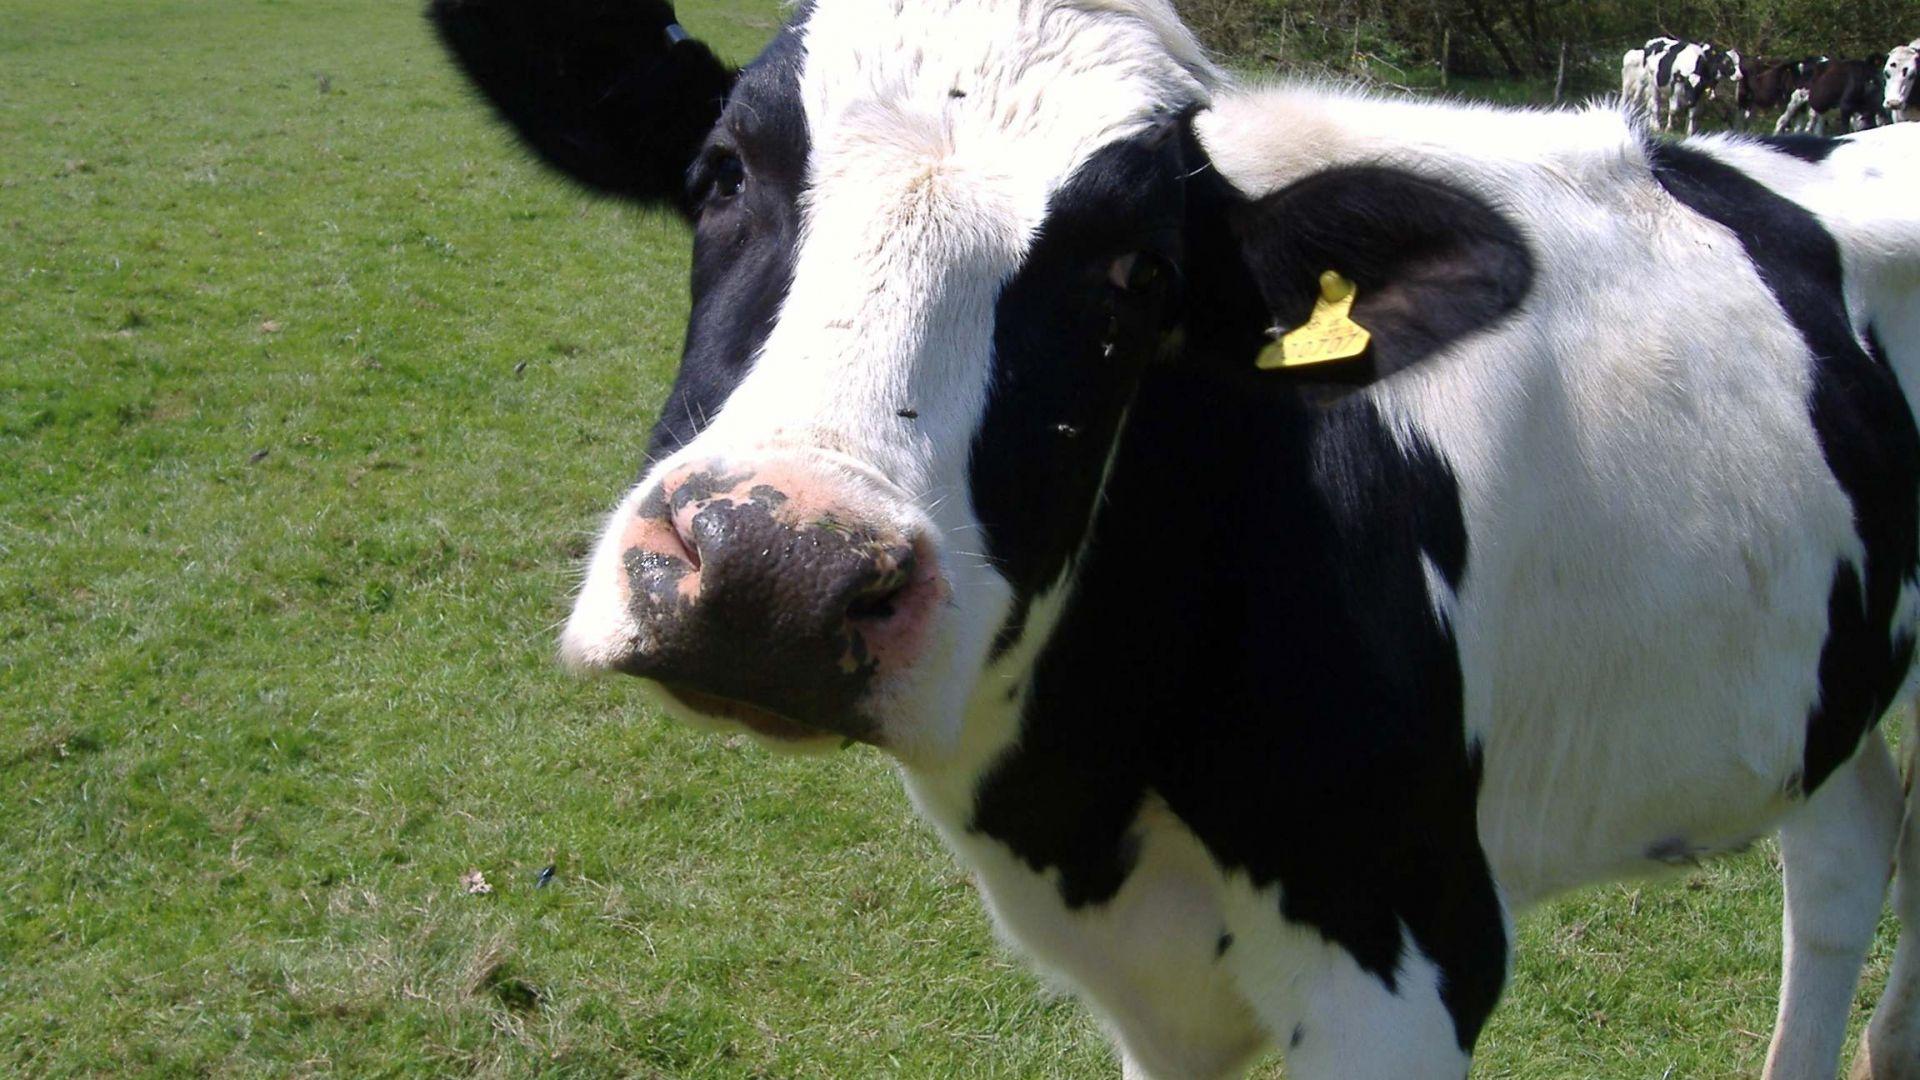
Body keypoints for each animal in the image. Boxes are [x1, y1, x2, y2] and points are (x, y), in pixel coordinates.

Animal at [430, 1, 1920, 1076]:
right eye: (720, 172)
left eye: (1137, 273)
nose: (775, 573)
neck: (1089, 788)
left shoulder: (1410, 947)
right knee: (1848, 851)